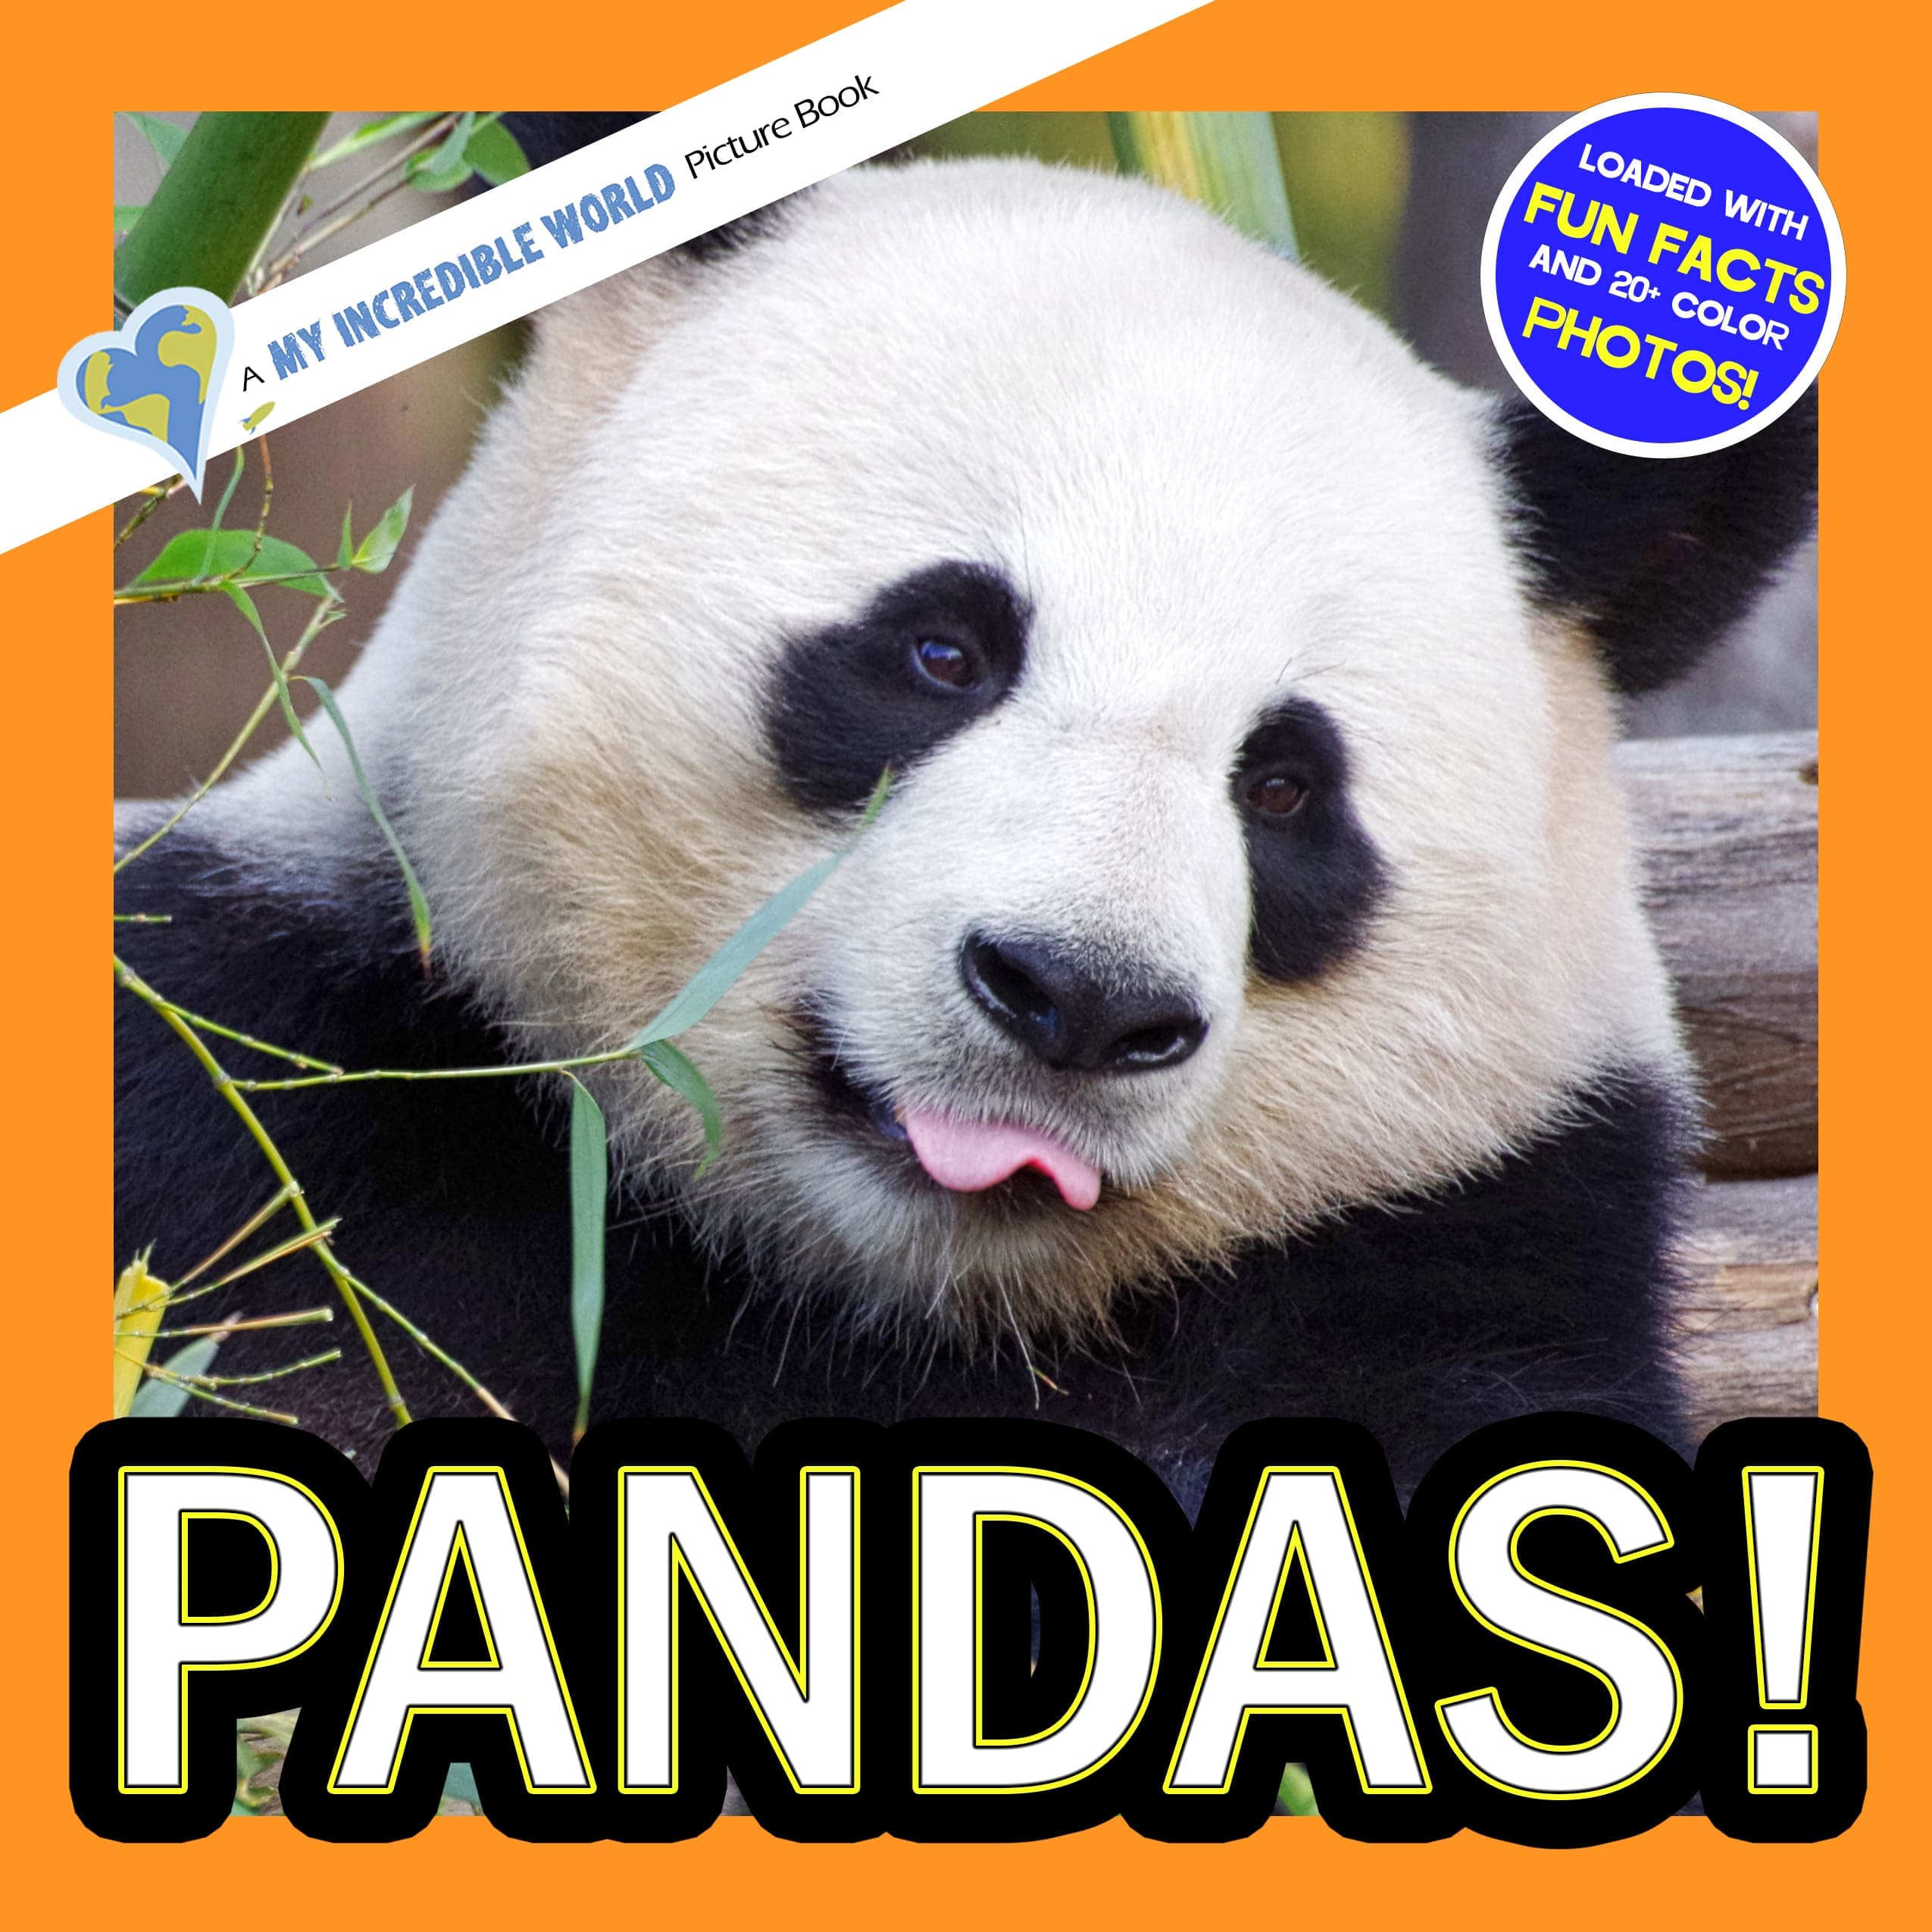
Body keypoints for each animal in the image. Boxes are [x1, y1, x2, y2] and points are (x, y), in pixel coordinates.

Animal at [114, 137, 1816, 1503]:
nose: (1081, 999)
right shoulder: (319, 1104)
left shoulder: (1450, 1252)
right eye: (945, 651)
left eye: (1284, 786)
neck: (884, 1299)